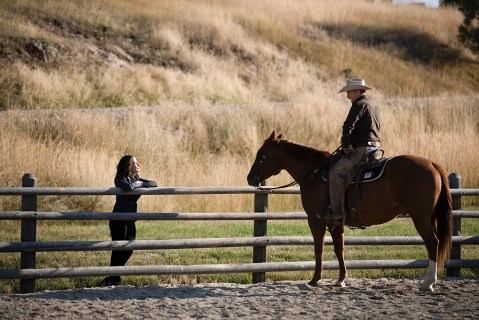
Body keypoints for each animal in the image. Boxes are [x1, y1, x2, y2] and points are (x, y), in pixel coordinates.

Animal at [248, 131, 454, 292]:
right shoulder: (335, 222)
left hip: (421, 218)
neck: (315, 173)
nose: (250, 178)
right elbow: (339, 248)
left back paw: (428, 282)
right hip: (429, 218)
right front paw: (341, 279)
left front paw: (315, 280)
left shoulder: (316, 220)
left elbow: (319, 248)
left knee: (432, 243)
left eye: (262, 155)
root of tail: (432, 164)